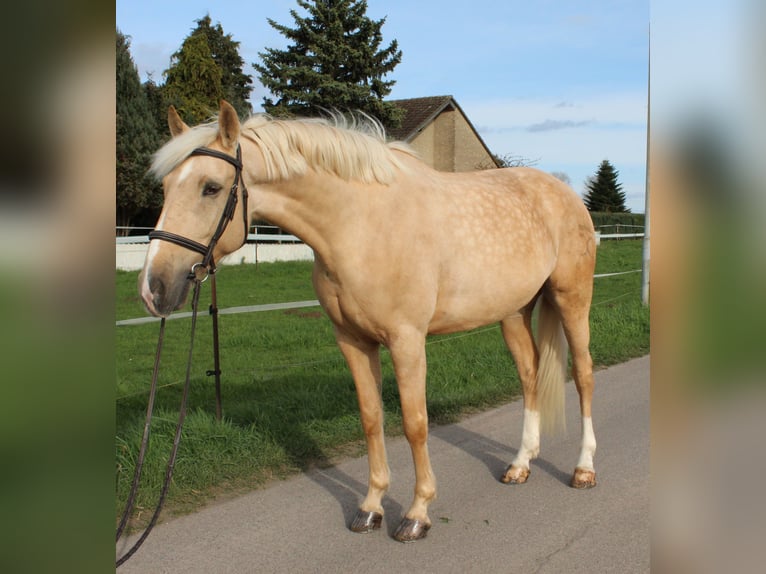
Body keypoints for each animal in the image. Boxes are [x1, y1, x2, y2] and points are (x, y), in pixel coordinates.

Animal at [139, 100, 598, 542]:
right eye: (166, 186)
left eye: (211, 188)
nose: (153, 288)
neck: (360, 225)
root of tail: (565, 194)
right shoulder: (353, 341)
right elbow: (372, 418)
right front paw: (372, 507)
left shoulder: (407, 341)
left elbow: (415, 424)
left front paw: (416, 513)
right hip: (514, 313)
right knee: (529, 375)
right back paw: (520, 464)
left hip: (572, 300)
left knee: (584, 374)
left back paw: (583, 469)